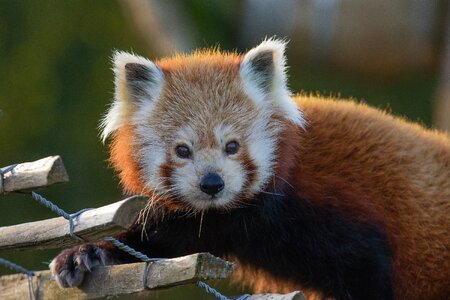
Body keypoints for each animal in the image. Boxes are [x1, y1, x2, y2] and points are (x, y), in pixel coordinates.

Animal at [51, 39, 450, 300]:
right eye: (182, 150)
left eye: (232, 146)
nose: (212, 183)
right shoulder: (204, 222)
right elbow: (157, 242)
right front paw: (88, 253)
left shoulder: (337, 213)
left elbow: (367, 272)